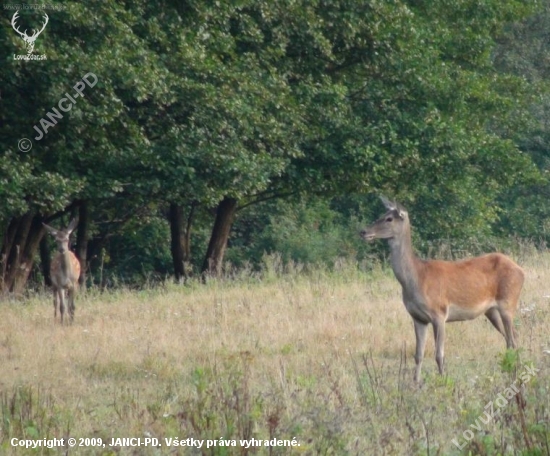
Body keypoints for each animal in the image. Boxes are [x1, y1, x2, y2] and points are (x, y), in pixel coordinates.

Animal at [362, 198, 528, 382]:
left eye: (389, 218)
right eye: (382, 214)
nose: (363, 231)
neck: (417, 277)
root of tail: (521, 271)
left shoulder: (439, 313)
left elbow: (439, 355)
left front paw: (442, 382)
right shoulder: (418, 317)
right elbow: (418, 355)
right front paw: (415, 382)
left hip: (508, 301)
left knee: (512, 339)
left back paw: (515, 374)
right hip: (491, 311)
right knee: (512, 337)